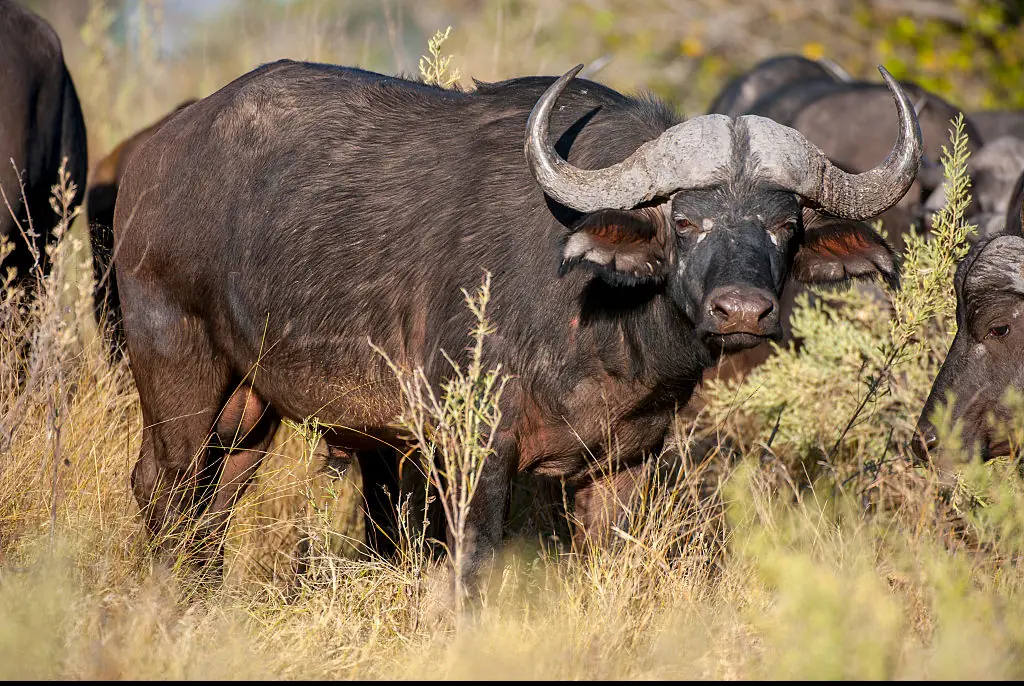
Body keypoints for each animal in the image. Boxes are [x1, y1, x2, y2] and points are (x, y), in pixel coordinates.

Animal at [114, 60, 921, 595]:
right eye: (685, 220)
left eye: (785, 226)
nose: (743, 311)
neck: (597, 319)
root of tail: (156, 152)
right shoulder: (473, 442)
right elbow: (472, 563)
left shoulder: (626, 462)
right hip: (175, 362)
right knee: (164, 484)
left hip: (250, 407)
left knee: (214, 497)